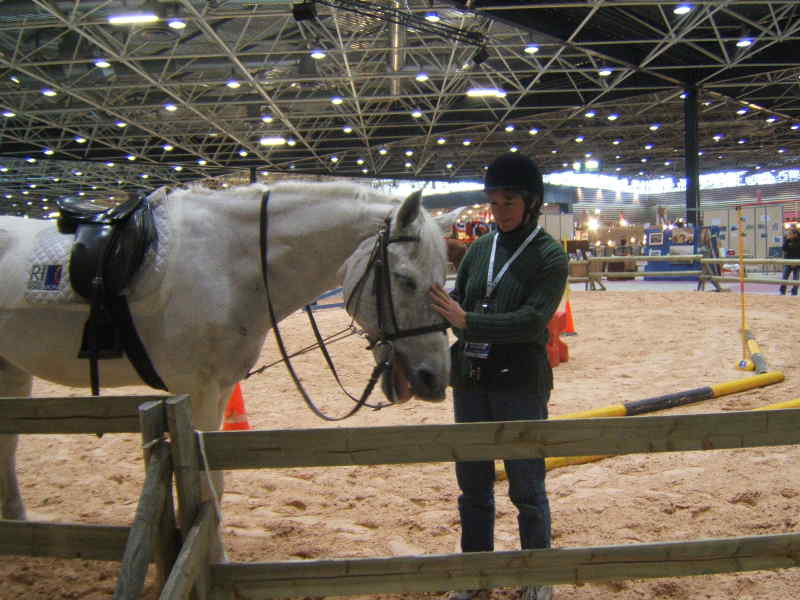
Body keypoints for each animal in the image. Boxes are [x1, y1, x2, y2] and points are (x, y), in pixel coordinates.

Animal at [0, 180, 461, 526]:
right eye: (404, 279)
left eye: (444, 279)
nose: (435, 380)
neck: (228, 263)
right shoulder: (197, 395)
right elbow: (207, 488)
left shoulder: (221, 391)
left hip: (12, 371)